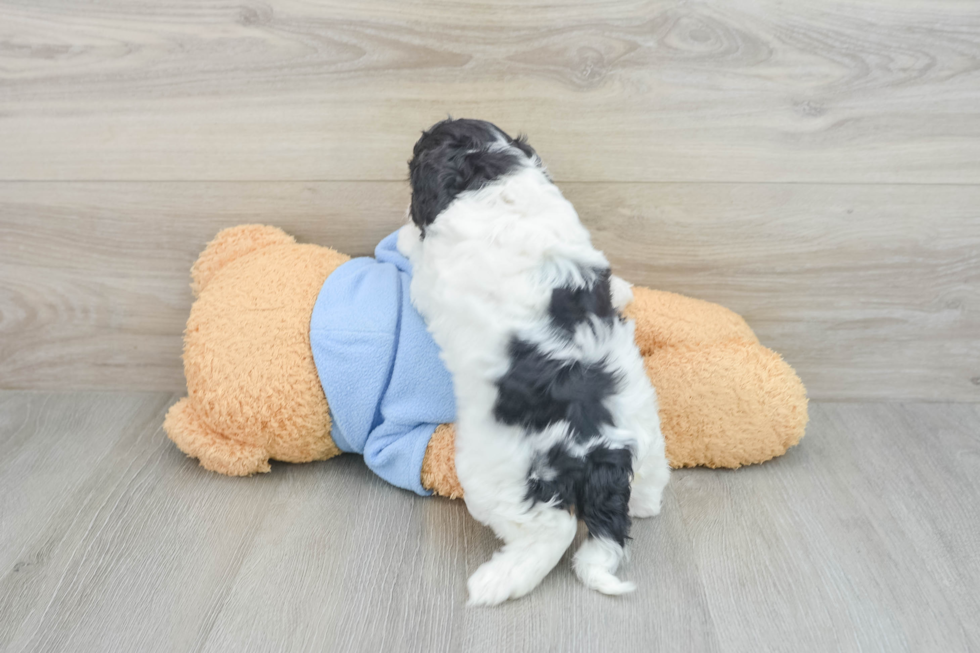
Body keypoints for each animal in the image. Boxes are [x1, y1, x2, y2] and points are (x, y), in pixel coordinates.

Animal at [394, 118, 668, 608]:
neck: (493, 174)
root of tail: (605, 448)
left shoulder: (430, 283)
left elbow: (418, 260)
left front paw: (405, 236)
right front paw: (623, 291)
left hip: (502, 475)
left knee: (554, 528)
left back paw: (498, 580)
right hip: (646, 427)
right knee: (646, 488)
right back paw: (643, 504)